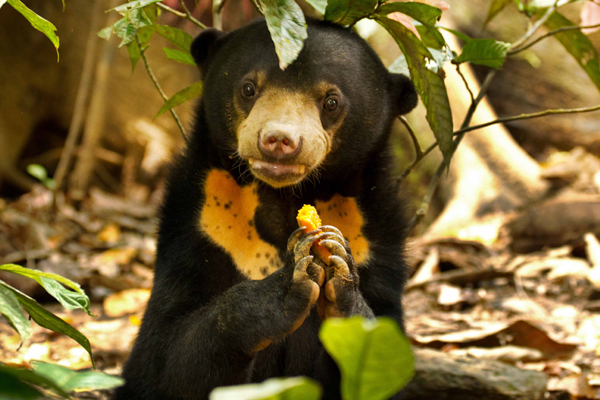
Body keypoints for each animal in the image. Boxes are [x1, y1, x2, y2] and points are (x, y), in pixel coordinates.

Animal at [116, 17, 418, 400]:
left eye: (331, 101)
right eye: (248, 88)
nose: (278, 140)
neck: (283, 197)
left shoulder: (376, 238)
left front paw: (340, 271)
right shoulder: (198, 224)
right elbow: (161, 359)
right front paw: (287, 284)